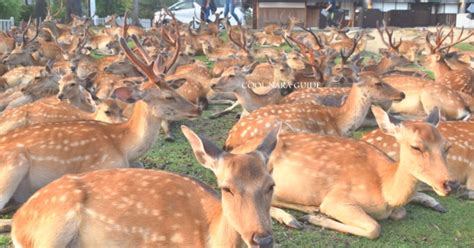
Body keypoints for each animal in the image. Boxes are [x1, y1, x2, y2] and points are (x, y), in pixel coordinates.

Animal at [262, 105, 454, 239]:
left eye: (447, 146)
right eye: (416, 147)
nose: (448, 183)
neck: (386, 191)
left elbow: (401, 213)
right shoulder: (337, 199)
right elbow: (375, 228)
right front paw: (315, 218)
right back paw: (294, 218)